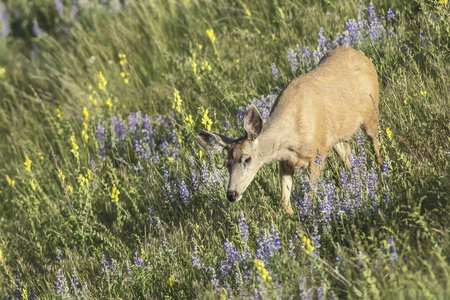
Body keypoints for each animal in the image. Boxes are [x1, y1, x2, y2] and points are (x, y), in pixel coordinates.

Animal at [195, 45, 382, 217]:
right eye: (226, 163)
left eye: (247, 159)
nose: (231, 194)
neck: (290, 139)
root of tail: (357, 52)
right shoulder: (285, 162)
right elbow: (284, 202)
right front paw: (294, 219)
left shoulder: (317, 153)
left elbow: (310, 195)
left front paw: (309, 215)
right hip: (337, 136)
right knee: (349, 157)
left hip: (371, 113)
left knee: (376, 144)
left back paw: (381, 173)